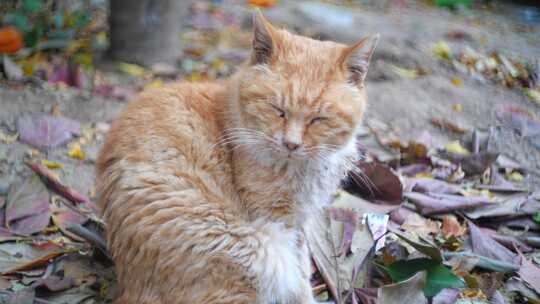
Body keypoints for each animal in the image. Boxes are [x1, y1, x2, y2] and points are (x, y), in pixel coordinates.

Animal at [96, 10, 376, 302]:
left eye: (318, 119)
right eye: (277, 110)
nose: (291, 143)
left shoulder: (299, 223)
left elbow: (302, 263)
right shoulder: (278, 220)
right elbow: (299, 277)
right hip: (254, 254)